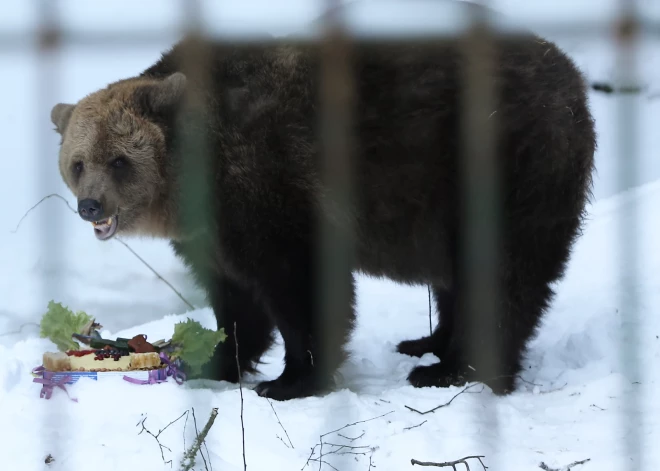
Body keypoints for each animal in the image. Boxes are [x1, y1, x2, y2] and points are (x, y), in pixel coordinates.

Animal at [51, 14, 596, 400]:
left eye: (119, 160)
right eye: (78, 162)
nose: (90, 205)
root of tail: (573, 76)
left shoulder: (273, 190)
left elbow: (301, 288)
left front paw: (290, 381)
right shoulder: (214, 234)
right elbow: (236, 302)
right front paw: (214, 361)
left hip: (503, 168)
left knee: (504, 275)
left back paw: (452, 369)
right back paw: (427, 343)